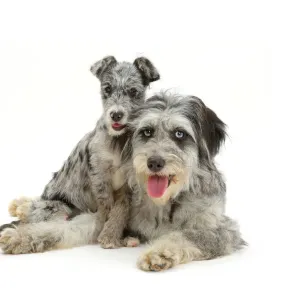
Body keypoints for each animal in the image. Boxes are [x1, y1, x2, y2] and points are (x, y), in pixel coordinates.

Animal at [0, 55, 161, 250]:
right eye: (107, 89)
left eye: (133, 91)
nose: (116, 114)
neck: (117, 141)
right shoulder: (99, 174)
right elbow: (106, 205)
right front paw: (106, 233)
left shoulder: (128, 183)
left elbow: (120, 210)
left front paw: (113, 235)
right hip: (59, 208)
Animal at [0, 93, 245, 272]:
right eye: (147, 132)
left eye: (179, 134)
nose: (154, 163)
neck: (164, 204)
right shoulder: (107, 215)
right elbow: (64, 227)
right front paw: (23, 236)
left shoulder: (223, 230)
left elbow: (189, 235)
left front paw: (160, 252)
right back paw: (22, 206)